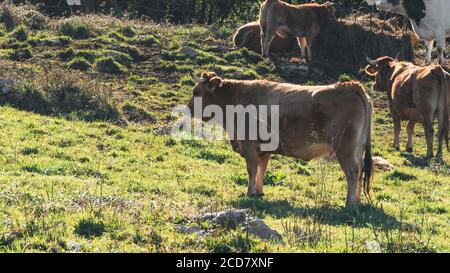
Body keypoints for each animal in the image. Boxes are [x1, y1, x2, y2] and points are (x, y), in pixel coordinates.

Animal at [185, 72, 372, 206]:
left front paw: (249, 192)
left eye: (196, 92)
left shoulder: (249, 144)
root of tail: (350, 85)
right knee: (361, 170)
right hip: (358, 148)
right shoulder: (263, 148)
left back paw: (349, 203)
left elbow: (252, 169)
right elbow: (262, 169)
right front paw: (259, 192)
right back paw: (357, 201)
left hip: (345, 149)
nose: (187, 108)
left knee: (352, 172)